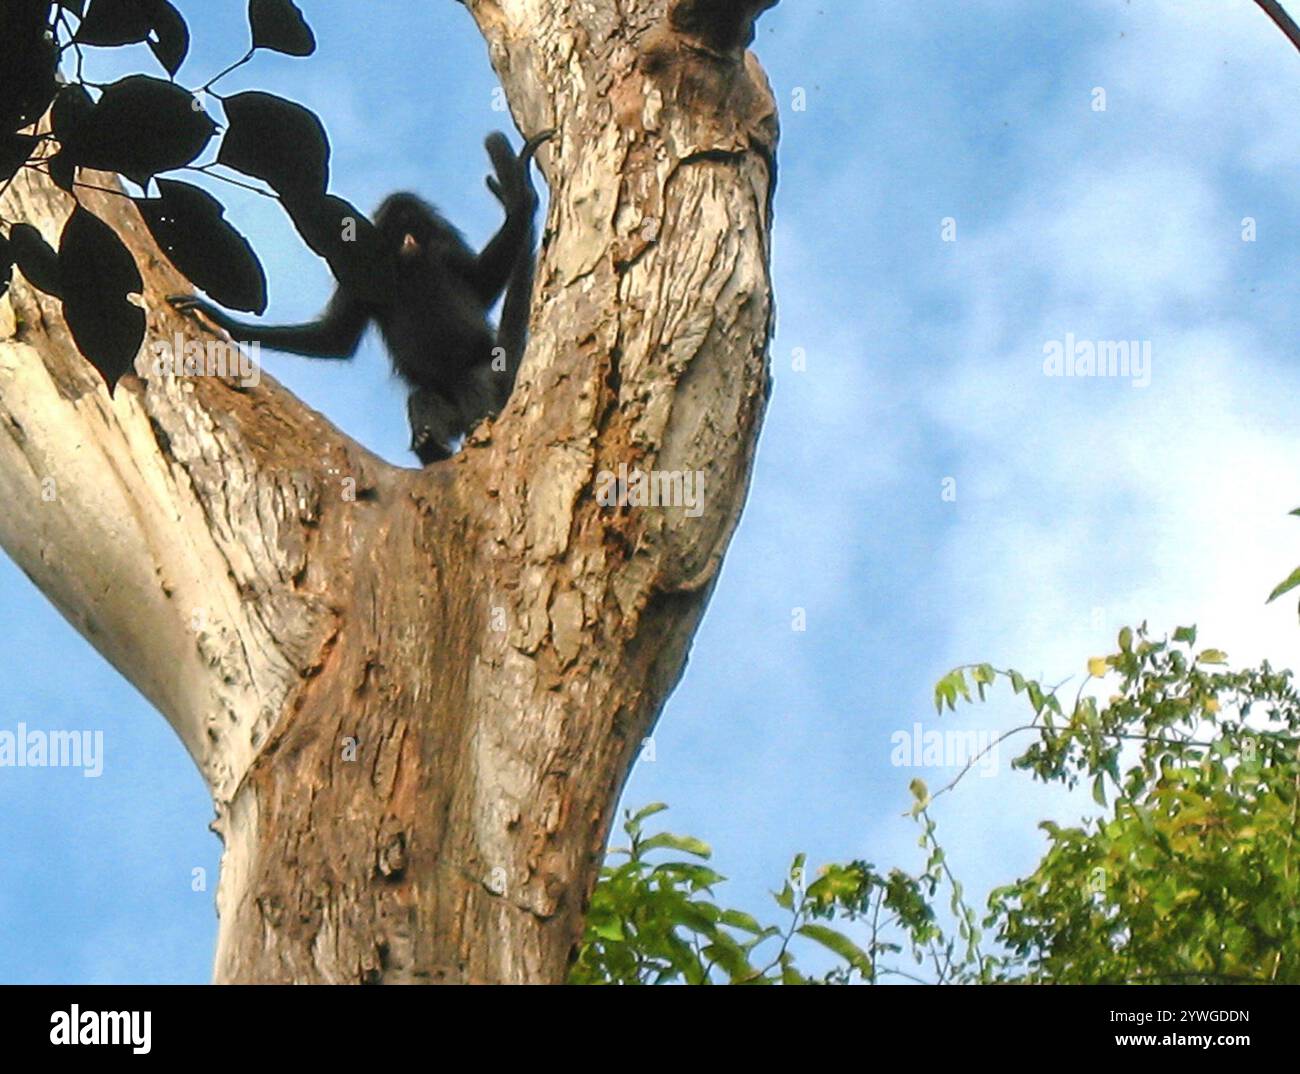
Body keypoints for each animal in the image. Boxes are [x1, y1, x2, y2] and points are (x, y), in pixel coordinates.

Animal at [169, 130, 552, 465]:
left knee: (476, 378)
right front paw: (220, 318)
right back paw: (432, 444)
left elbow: (484, 282)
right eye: (396, 230)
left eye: (415, 226)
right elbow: (335, 338)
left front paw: (520, 201)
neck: (409, 270)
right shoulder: (362, 276)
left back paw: (478, 418)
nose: (409, 241)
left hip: (486, 372)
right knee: (422, 398)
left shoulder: (446, 252)